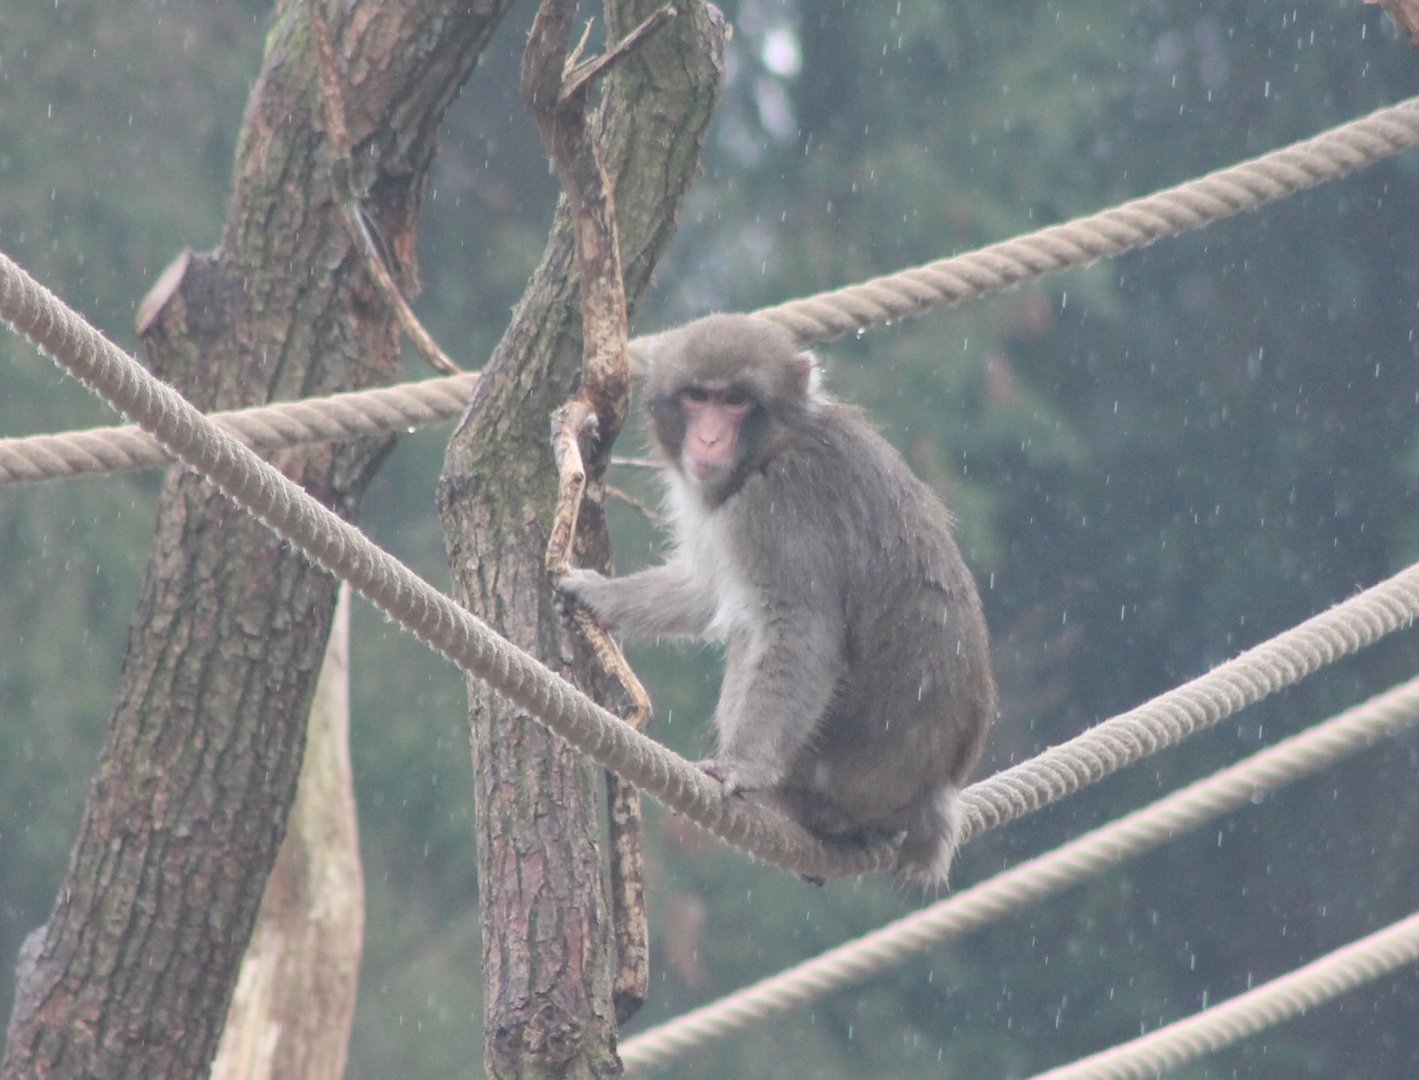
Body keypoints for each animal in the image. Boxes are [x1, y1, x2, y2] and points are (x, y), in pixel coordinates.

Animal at [559, 313, 994, 887]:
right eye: (697, 396)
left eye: (736, 401)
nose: (710, 437)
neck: (772, 448)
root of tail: (936, 789)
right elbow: (704, 588)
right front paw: (597, 596)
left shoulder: (777, 509)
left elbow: (800, 634)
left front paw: (743, 768)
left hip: (844, 774)